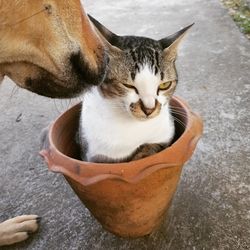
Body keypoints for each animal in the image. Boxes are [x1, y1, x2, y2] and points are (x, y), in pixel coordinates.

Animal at [79, 16, 192, 164]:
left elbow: (150, 148)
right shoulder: (94, 155)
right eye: (128, 86)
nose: (149, 109)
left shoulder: (165, 134)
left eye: (164, 85)